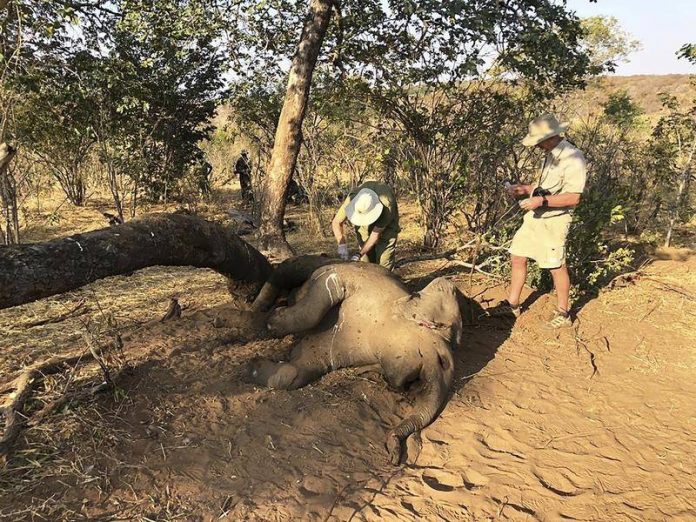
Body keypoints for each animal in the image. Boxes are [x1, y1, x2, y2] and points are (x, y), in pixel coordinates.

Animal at [248, 255, 463, 465]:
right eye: (443, 360)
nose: (394, 458)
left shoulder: (330, 349)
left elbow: (295, 373)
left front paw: (253, 363)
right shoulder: (338, 280)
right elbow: (311, 313)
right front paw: (273, 322)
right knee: (288, 270)